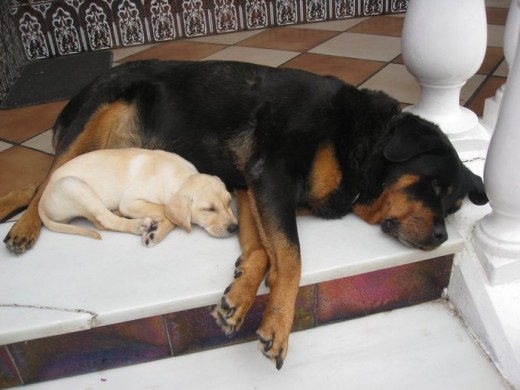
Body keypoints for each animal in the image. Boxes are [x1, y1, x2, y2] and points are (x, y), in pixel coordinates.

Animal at [38, 149, 238, 247]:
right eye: (209, 209)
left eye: (229, 202)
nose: (235, 228)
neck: (178, 174)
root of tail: (41, 198)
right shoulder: (130, 201)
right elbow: (165, 212)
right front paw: (155, 229)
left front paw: (156, 232)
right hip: (73, 185)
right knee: (105, 220)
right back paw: (138, 224)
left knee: (99, 222)